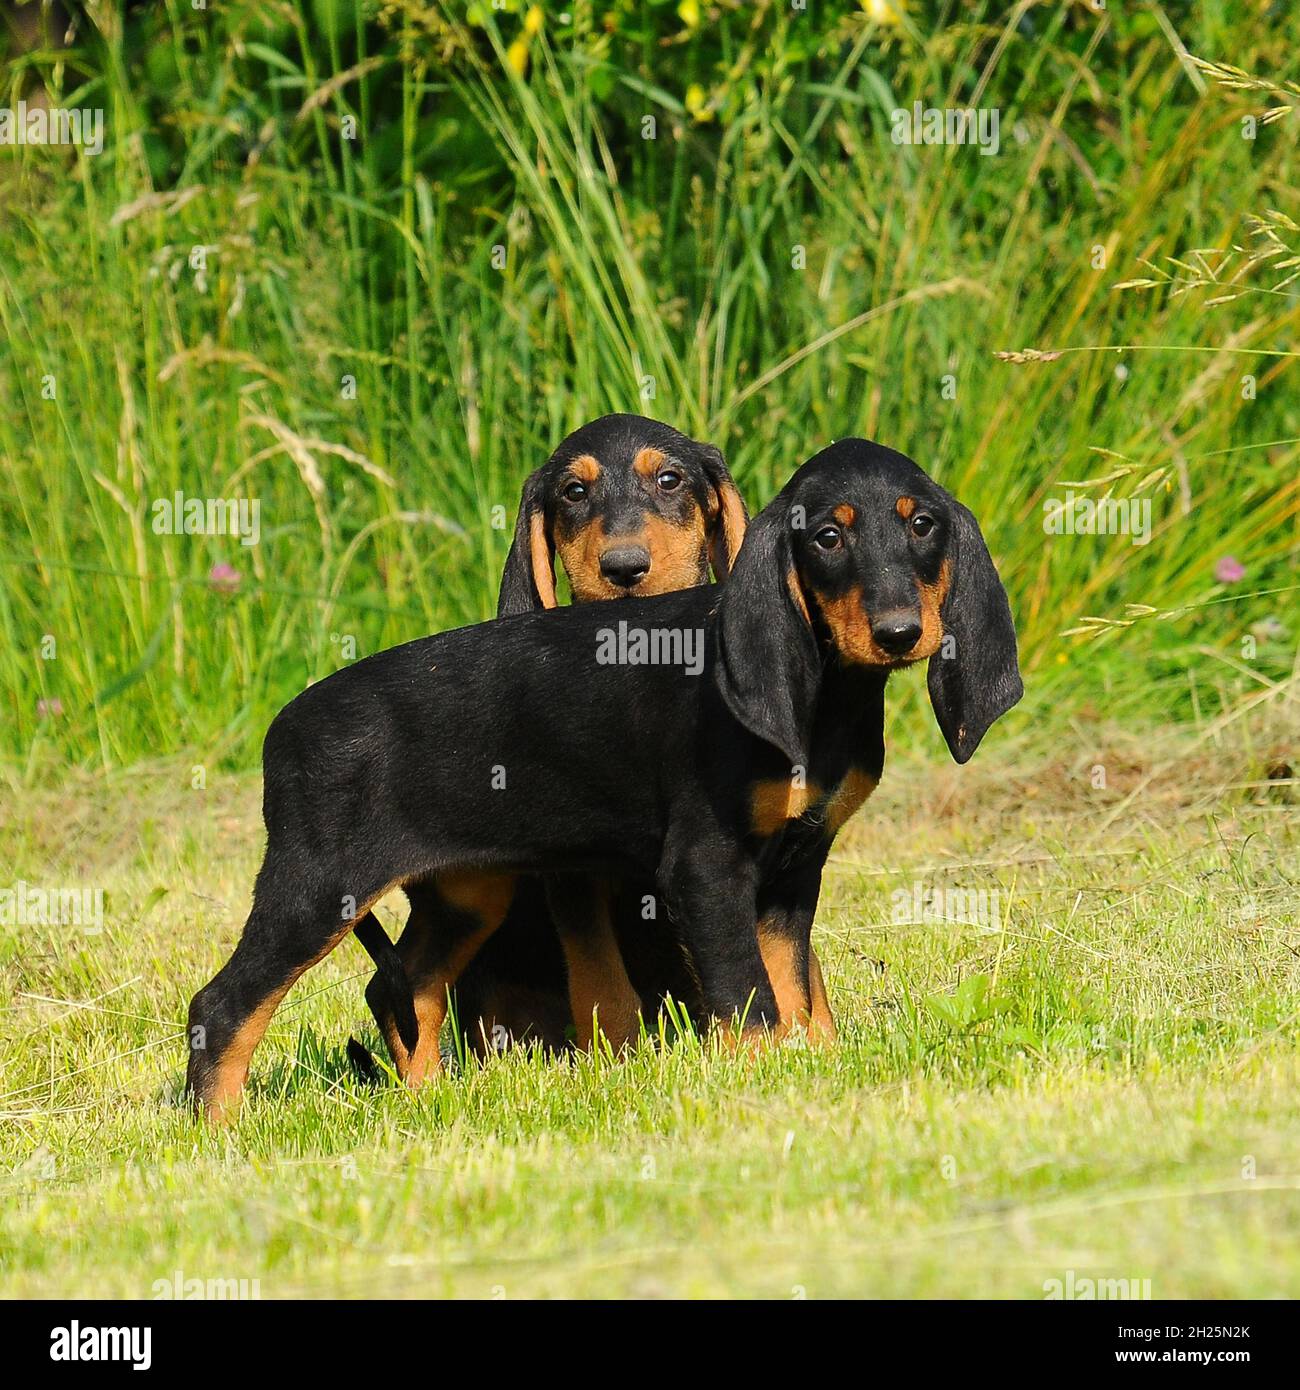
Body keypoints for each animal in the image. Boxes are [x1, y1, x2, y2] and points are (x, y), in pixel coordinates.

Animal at [187, 439, 1023, 1123]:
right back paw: (220, 1136)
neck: (826, 696)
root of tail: (281, 730)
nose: (899, 633)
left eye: (923, 526)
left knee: (406, 988)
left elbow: (793, 990)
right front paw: (764, 1085)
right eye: (828, 537)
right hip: (318, 888)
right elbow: (749, 1001)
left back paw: (430, 1104)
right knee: (222, 1005)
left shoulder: (793, 870)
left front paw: (811, 1076)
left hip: (467, 891)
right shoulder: (704, 866)